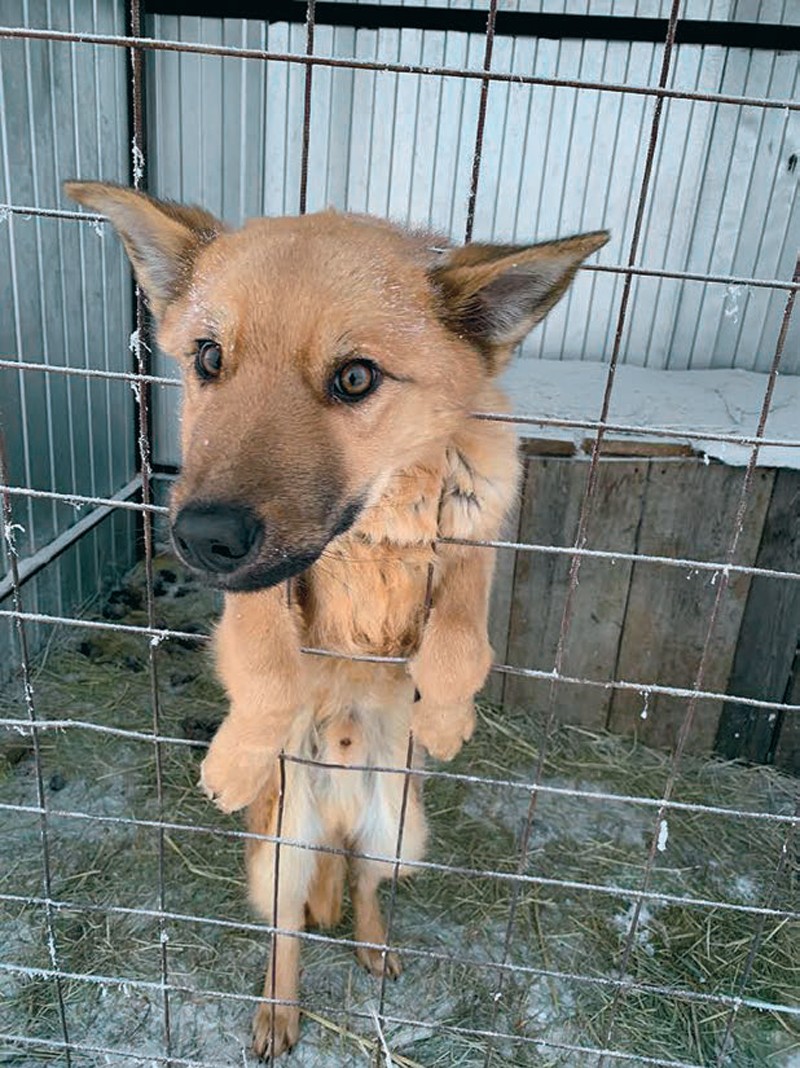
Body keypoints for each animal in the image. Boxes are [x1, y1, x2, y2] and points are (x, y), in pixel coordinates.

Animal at [65, 179, 607, 1058]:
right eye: (209, 359)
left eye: (355, 377)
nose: (201, 538)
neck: (372, 529)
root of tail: (342, 818)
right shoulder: (262, 587)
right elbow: (267, 667)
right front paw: (235, 758)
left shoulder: (476, 528)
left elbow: (463, 634)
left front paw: (446, 714)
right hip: (277, 858)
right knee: (287, 931)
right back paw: (279, 1010)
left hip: (402, 836)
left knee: (365, 885)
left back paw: (373, 942)